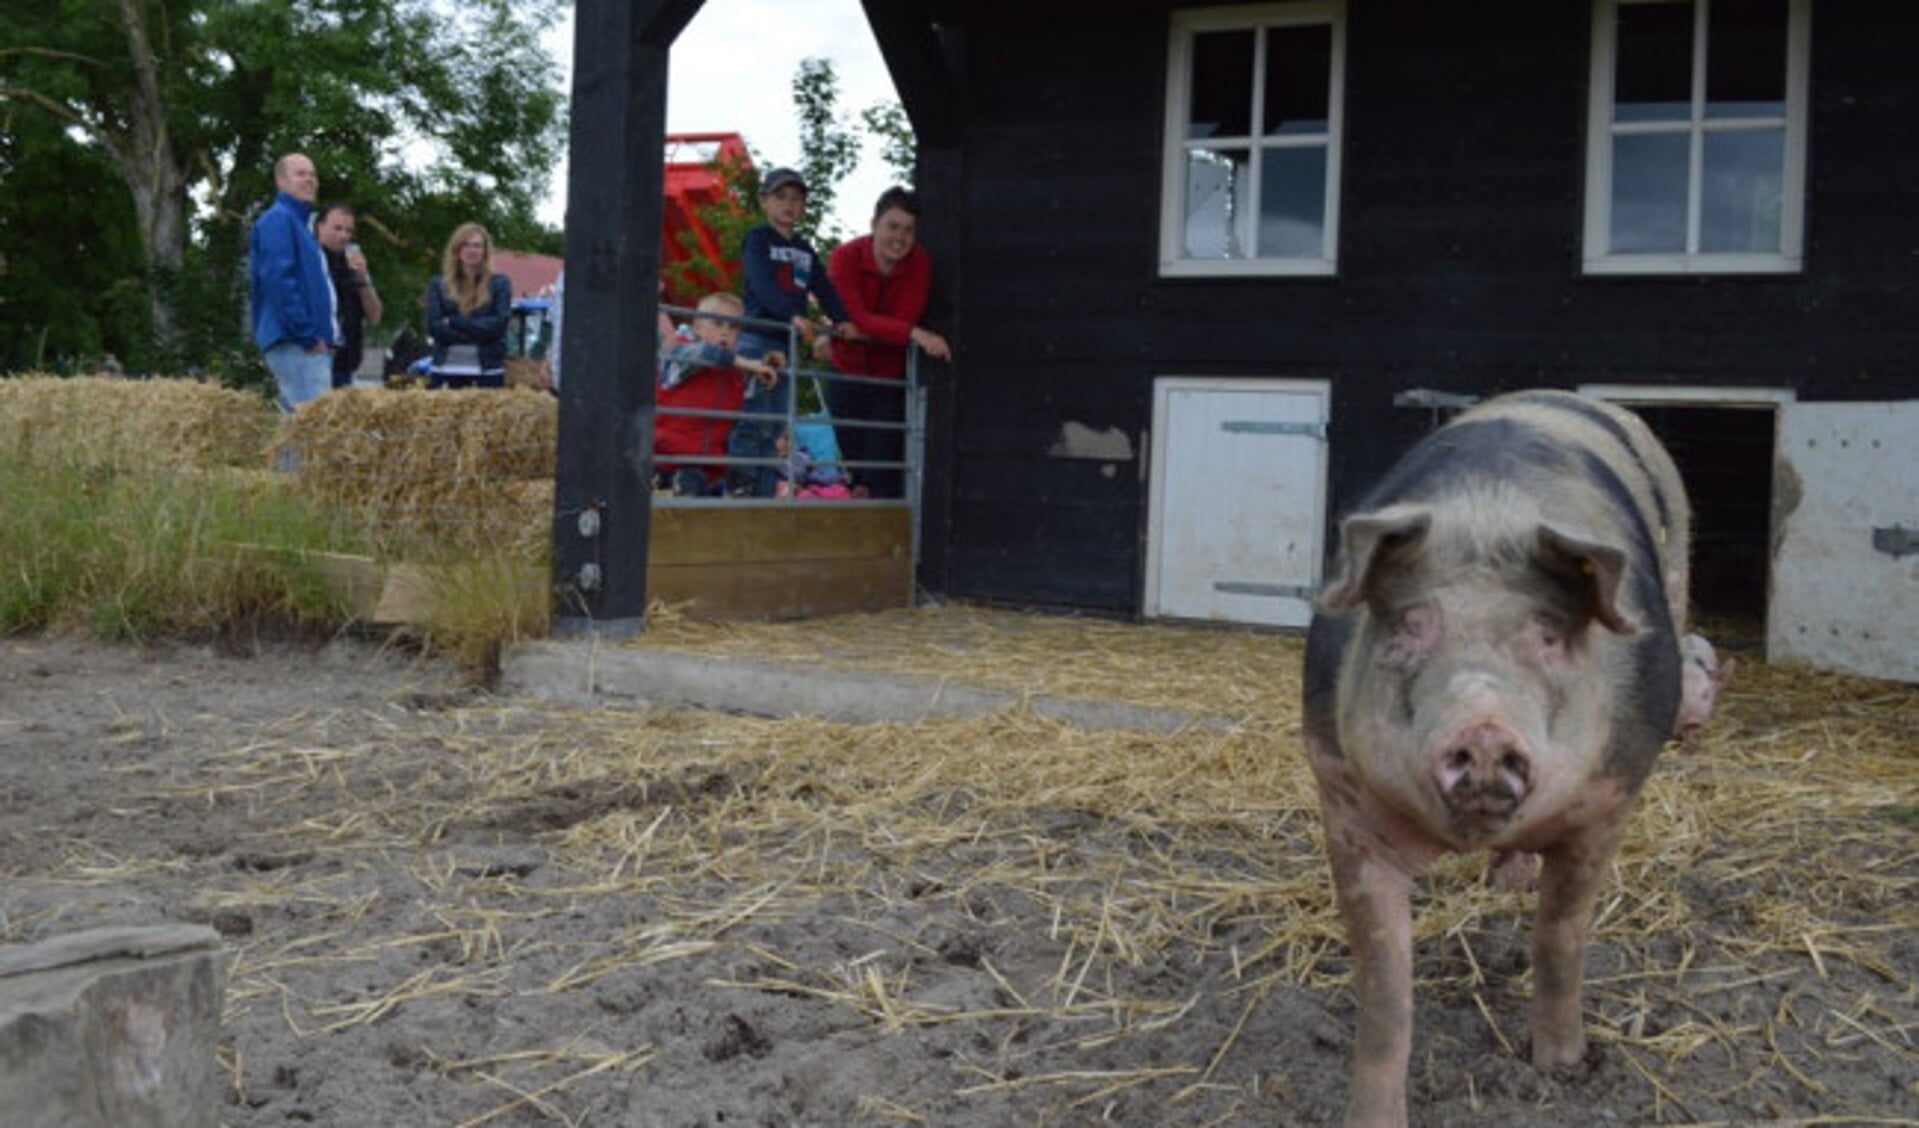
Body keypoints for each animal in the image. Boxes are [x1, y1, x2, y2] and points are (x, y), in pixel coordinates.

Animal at [1304, 389, 1696, 1128]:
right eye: (1410, 624)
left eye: (1548, 634)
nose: (1485, 729)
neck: (1487, 515)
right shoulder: (1344, 801)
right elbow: (1385, 990)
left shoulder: (1610, 797)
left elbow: (1560, 932)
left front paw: (1559, 1068)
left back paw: (1508, 886)